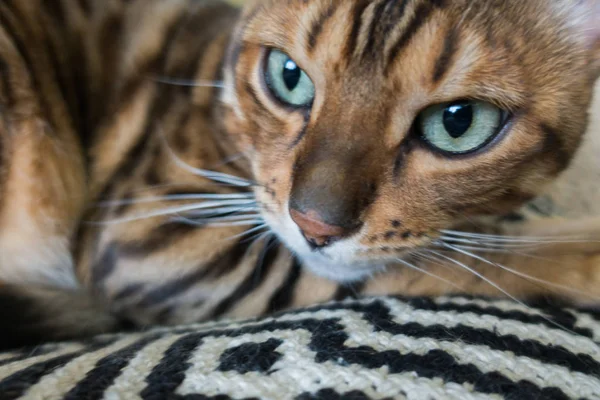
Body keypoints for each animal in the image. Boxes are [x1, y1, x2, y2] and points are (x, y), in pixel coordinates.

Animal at [0, 0, 596, 350]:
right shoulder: (148, 233)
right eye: (288, 77)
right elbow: (470, 259)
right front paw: (580, 251)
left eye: (459, 122)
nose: (315, 226)